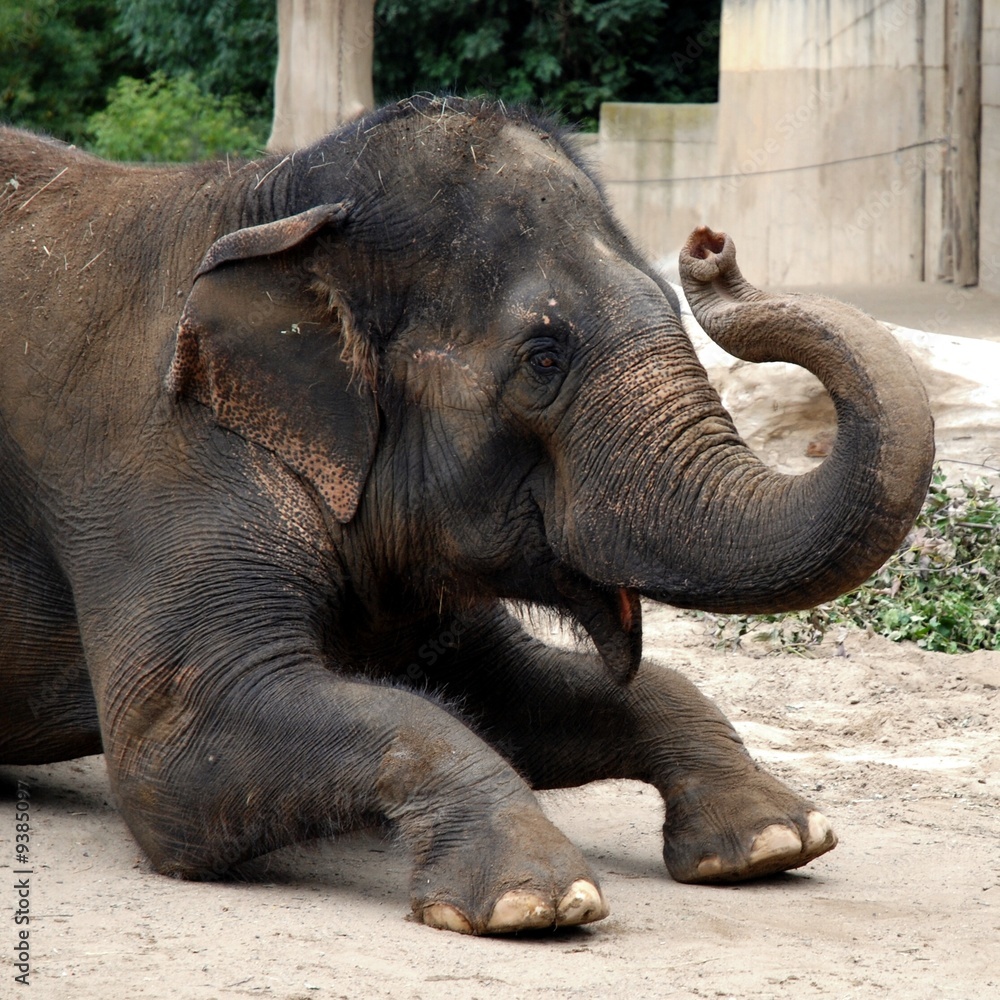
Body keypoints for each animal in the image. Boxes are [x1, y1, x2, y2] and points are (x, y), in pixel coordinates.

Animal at [0, 95, 933, 935]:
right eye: (543, 357)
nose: (710, 247)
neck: (271, 202)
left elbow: (502, 690)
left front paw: (776, 840)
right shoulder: (156, 461)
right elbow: (174, 751)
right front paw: (538, 900)